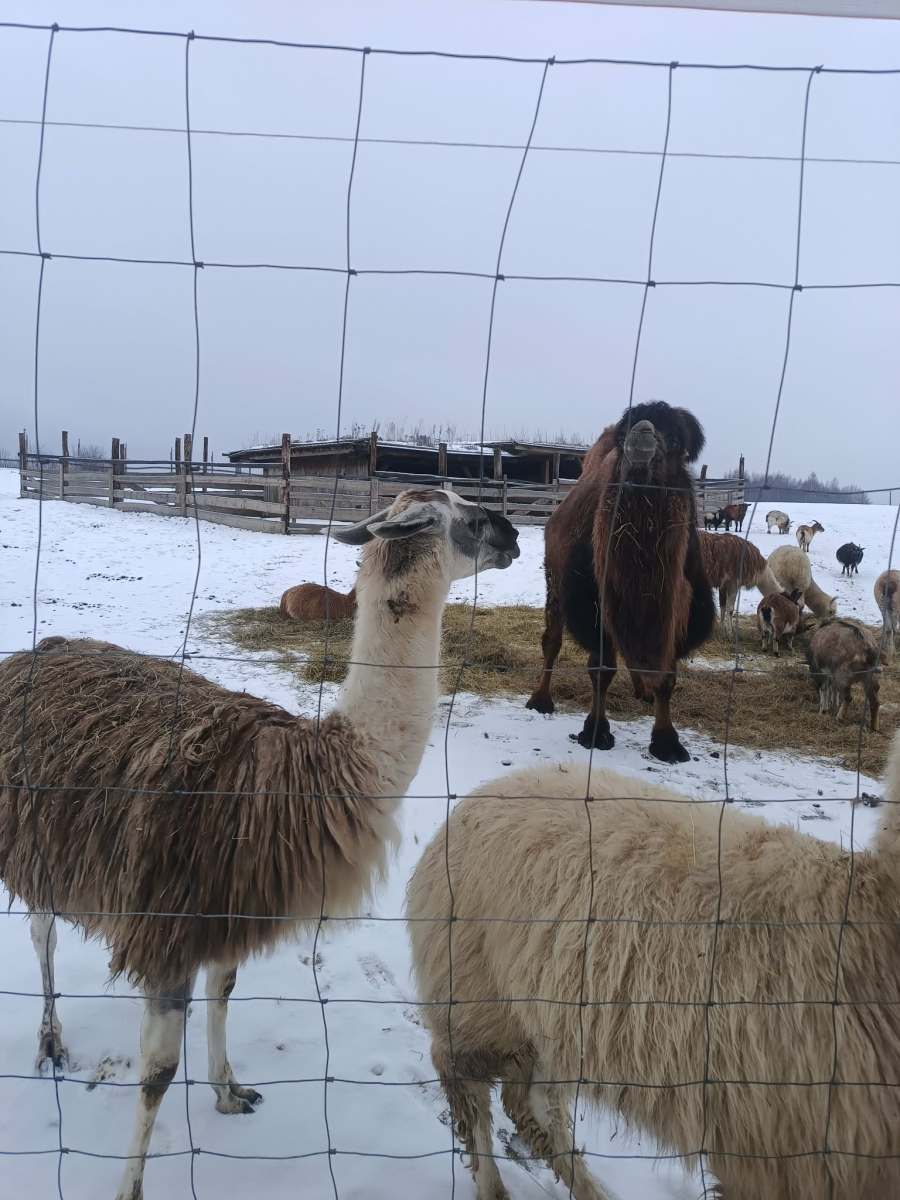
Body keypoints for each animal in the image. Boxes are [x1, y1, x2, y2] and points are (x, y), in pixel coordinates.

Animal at [0, 487, 520, 1200]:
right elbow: (156, 1074)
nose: (516, 535)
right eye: (467, 515)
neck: (314, 774)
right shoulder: (169, 924)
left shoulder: (230, 906)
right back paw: (50, 1040)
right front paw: (129, 1187)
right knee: (43, 933)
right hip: (35, 843)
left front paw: (228, 1092)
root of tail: (35, 651)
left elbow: (224, 993)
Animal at [408, 735, 900, 1200]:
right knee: (466, 1083)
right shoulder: (782, 1153)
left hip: (548, 1023)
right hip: (475, 994)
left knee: (530, 1105)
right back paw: (494, 1187)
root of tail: (474, 798)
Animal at [526, 401, 715, 763]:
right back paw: (540, 700)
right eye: (626, 431)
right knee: (552, 640)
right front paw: (595, 731)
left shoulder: (677, 609)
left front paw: (667, 742)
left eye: (676, 441)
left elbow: (668, 676)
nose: (642, 433)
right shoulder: (595, 604)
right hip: (554, 583)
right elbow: (601, 668)